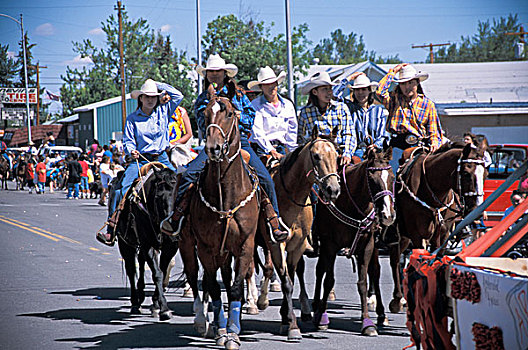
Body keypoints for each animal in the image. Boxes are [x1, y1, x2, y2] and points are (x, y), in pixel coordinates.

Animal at [112, 163, 179, 320]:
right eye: (158, 196)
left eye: (176, 194)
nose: (170, 226)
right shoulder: (147, 245)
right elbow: (157, 274)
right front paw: (164, 309)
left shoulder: (169, 247)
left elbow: (162, 271)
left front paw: (156, 305)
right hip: (125, 244)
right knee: (131, 270)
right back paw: (135, 303)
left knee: (141, 264)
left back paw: (141, 294)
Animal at [179, 85, 260, 350]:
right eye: (205, 115)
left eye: (230, 114)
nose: (213, 148)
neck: (226, 195)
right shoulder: (205, 247)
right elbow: (213, 288)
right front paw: (222, 330)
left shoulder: (245, 245)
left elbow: (234, 289)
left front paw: (232, 333)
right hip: (187, 245)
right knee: (195, 278)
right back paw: (202, 321)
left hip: (225, 252)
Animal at [253, 129, 342, 340]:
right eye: (316, 156)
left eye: (337, 156)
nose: (333, 189)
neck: (290, 196)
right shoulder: (277, 244)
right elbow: (285, 281)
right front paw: (292, 325)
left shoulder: (298, 244)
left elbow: (292, 277)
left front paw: (286, 317)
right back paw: (254, 302)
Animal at [312, 145, 394, 336]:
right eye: (372, 179)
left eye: (392, 177)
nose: (387, 215)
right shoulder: (329, 245)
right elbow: (328, 280)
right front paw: (322, 318)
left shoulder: (367, 246)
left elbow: (363, 282)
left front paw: (368, 323)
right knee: (320, 271)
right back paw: (316, 306)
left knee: (375, 272)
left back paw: (381, 315)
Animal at [388, 141, 486, 314]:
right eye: (466, 173)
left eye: (484, 174)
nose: (477, 210)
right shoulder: (416, 234)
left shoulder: (442, 234)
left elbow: (436, 259)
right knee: (394, 261)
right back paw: (394, 299)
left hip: (405, 238)